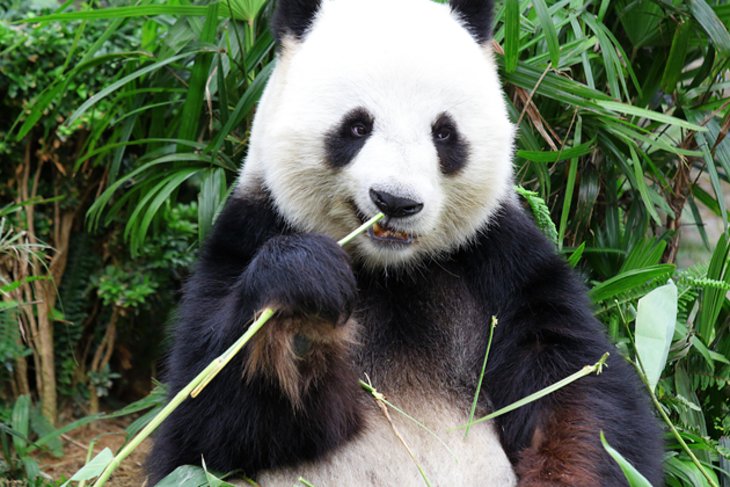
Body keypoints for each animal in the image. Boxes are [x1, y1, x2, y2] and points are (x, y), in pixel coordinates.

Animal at [145, 0, 664, 486]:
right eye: (357, 126)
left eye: (444, 132)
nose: (395, 201)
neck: (391, 270)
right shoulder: (249, 233)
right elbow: (203, 420)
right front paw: (302, 303)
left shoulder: (502, 261)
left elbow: (579, 393)